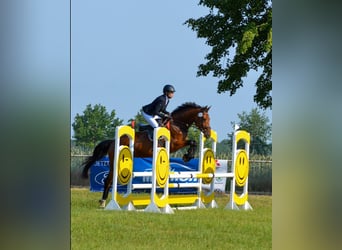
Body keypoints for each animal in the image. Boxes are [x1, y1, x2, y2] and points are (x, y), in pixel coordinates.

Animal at [82, 101, 212, 207]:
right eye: (204, 119)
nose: (208, 134)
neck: (178, 124)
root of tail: (112, 142)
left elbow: (193, 142)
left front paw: (188, 156)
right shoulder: (175, 144)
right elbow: (193, 142)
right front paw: (187, 156)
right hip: (115, 162)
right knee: (108, 180)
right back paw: (103, 202)